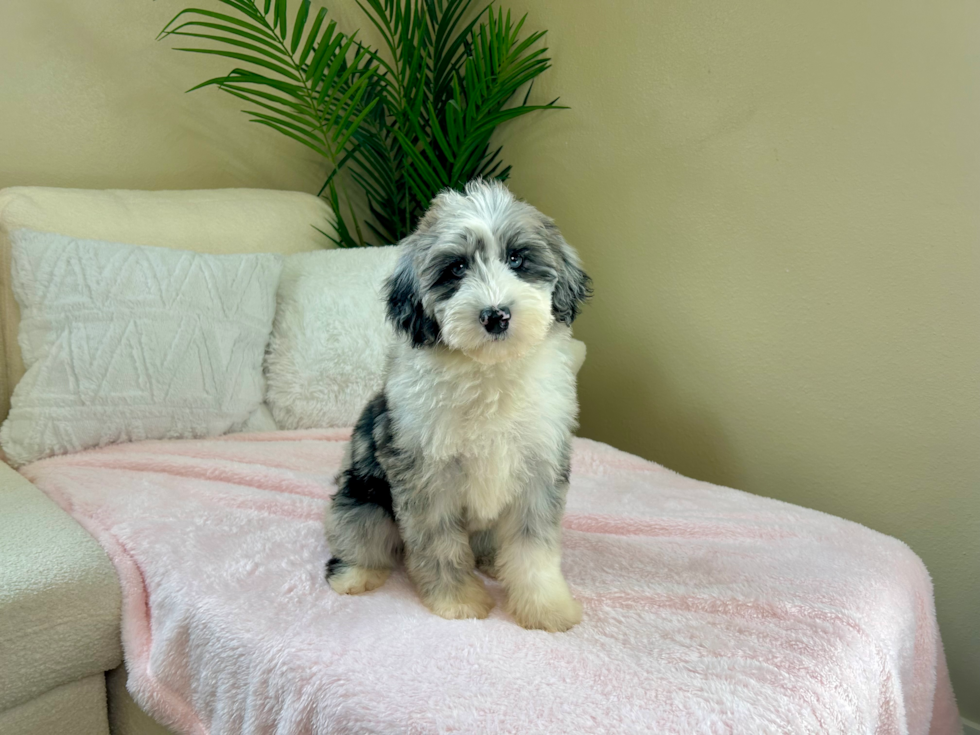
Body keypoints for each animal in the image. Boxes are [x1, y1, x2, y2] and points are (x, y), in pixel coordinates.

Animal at [328, 180, 588, 632]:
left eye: (516, 258)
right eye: (455, 270)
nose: (496, 315)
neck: (488, 371)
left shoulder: (540, 467)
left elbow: (533, 546)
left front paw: (545, 606)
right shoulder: (426, 475)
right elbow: (439, 544)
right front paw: (457, 600)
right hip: (363, 500)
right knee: (360, 537)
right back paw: (356, 574)